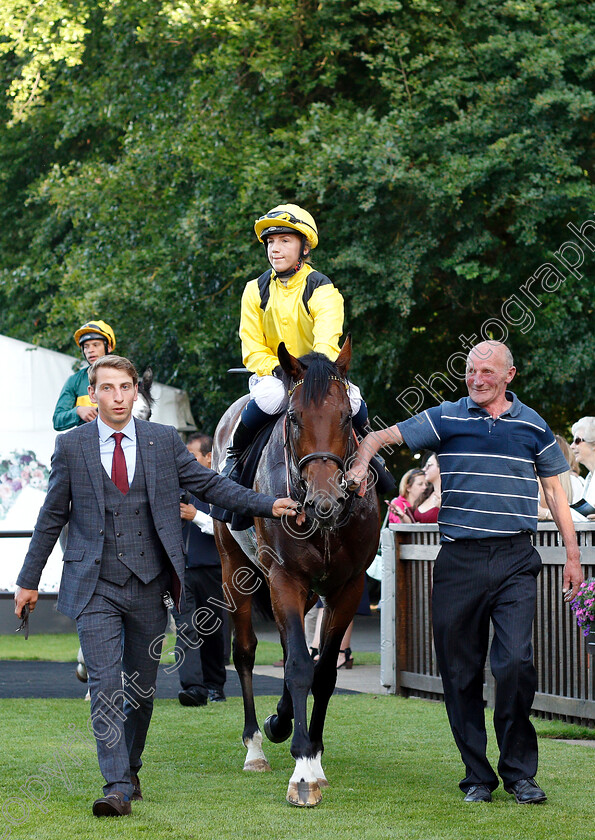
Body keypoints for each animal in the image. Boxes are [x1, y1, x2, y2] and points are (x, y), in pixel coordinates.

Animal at [213, 334, 382, 808]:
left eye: (345, 417)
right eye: (292, 417)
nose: (325, 500)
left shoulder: (348, 585)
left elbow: (321, 670)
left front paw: (313, 754)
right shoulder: (284, 578)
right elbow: (299, 668)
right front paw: (303, 769)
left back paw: (282, 720)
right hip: (234, 567)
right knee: (245, 652)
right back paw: (256, 744)